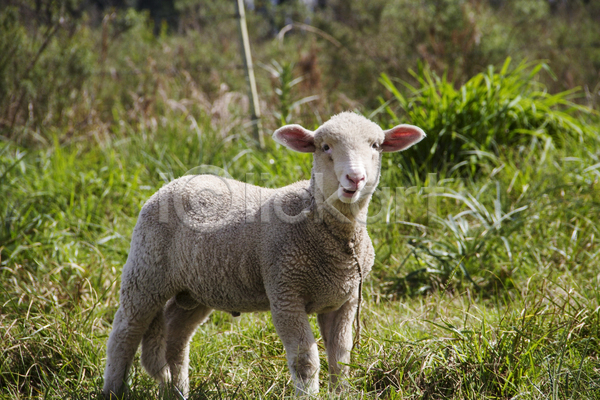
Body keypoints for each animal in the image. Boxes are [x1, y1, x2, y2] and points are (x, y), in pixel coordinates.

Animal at [101, 111, 424, 396]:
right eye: (325, 147)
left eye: (376, 146)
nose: (355, 178)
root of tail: (176, 181)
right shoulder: (285, 292)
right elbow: (305, 362)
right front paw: (308, 395)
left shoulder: (345, 299)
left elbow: (341, 360)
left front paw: (341, 393)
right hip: (146, 270)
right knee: (125, 332)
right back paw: (113, 390)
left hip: (196, 288)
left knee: (175, 334)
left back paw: (176, 391)